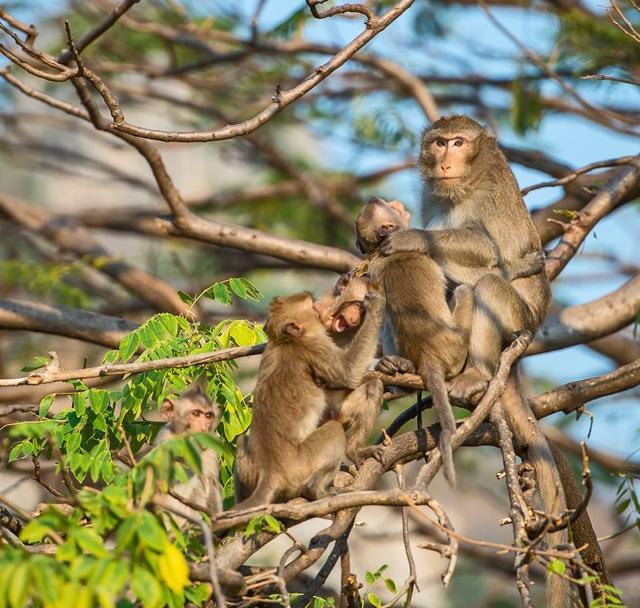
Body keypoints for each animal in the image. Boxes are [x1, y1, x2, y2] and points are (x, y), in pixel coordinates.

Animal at [235, 284, 384, 508]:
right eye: (312, 307)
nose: (321, 308)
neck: (285, 341)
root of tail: (269, 473)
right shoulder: (315, 346)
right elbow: (349, 372)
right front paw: (375, 305)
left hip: (250, 470)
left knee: (240, 440)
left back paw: (354, 450)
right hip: (301, 465)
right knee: (334, 429)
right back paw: (317, 491)